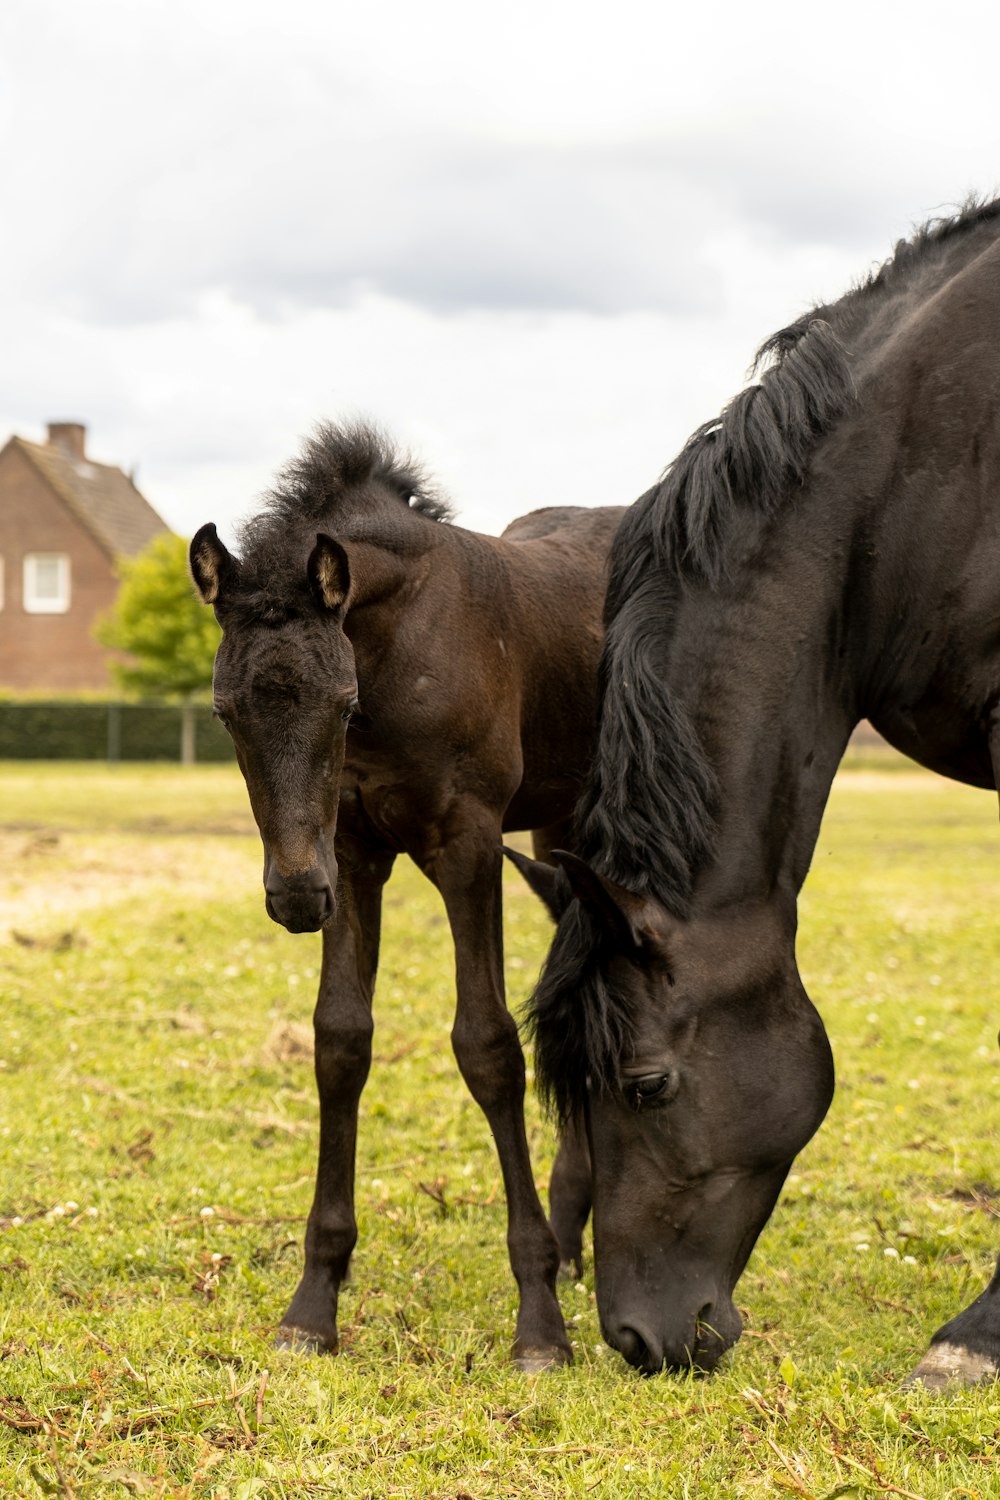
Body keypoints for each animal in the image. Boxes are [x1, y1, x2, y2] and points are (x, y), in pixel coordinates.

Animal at [190, 426, 620, 1374]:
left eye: (343, 700)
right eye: (226, 712)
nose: (294, 897)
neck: (398, 654)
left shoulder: (467, 845)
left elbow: (488, 1046)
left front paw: (539, 1324)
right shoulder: (351, 853)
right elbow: (341, 1041)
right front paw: (313, 1303)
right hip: (559, 832)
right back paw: (578, 1234)